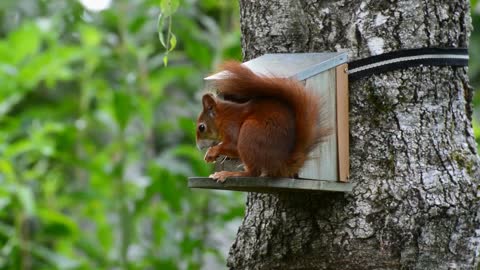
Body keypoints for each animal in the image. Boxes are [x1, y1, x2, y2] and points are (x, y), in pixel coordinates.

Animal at [196, 61, 330, 181]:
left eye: (201, 127)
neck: (224, 116)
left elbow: (233, 145)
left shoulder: (231, 125)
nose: (198, 147)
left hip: (249, 133)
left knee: (253, 173)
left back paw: (229, 174)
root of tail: (281, 165)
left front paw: (212, 151)